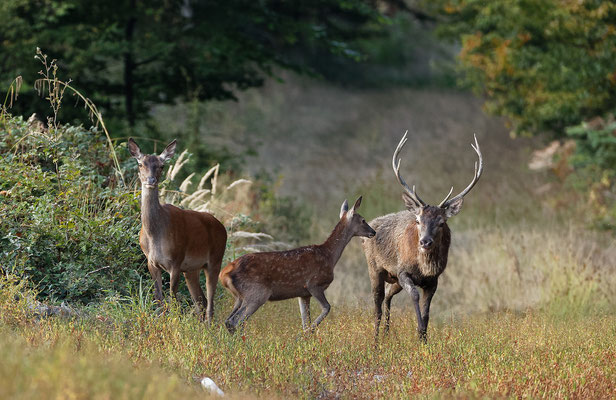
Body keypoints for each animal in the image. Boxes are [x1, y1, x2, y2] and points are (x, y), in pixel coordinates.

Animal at [129, 139, 227, 324]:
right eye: (140, 163)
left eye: (161, 165)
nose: (151, 180)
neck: (155, 236)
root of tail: (223, 227)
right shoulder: (151, 262)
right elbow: (159, 298)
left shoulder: (176, 260)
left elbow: (172, 299)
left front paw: (172, 324)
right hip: (192, 270)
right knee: (201, 301)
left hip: (215, 259)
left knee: (210, 303)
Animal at [221, 196, 376, 332]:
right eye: (363, 220)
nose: (373, 232)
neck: (329, 256)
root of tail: (224, 274)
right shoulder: (314, 284)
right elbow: (327, 308)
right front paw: (306, 334)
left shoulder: (303, 294)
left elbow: (305, 321)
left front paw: (305, 336)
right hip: (256, 293)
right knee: (236, 321)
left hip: (239, 297)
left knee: (228, 320)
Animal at [364, 131, 484, 340]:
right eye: (418, 220)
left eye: (441, 222)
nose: (425, 242)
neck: (423, 269)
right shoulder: (403, 271)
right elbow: (415, 296)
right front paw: (419, 332)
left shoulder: (433, 281)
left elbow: (427, 311)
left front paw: (423, 338)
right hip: (375, 268)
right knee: (377, 305)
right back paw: (376, 340)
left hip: (393, 279)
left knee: (387, 296)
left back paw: (387, 334)